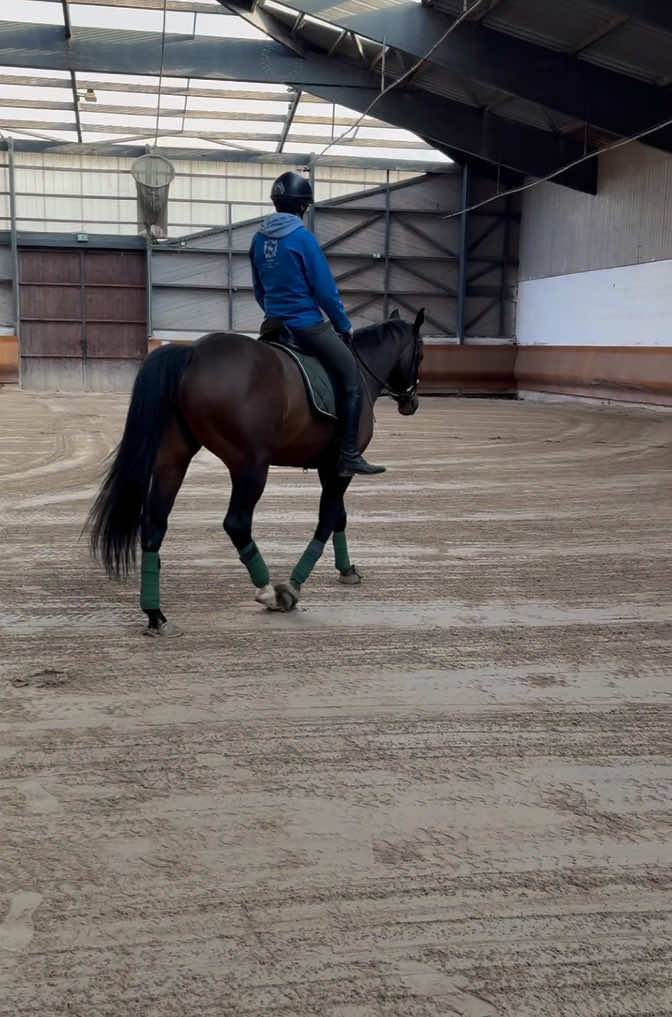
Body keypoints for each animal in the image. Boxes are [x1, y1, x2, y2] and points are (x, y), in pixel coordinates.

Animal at [86, 307, 422, 634]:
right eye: (419, 354)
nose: (412, 403)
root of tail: (193, 351)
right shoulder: (341, 468)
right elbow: (328, 518)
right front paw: (294, 585)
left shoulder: (329, 468)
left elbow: (339, 515)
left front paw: (347, 570)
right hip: (251, 467)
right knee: (236, 523)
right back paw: (269, 592)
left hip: (173, 460)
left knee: (154, 524)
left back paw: (155, 615)